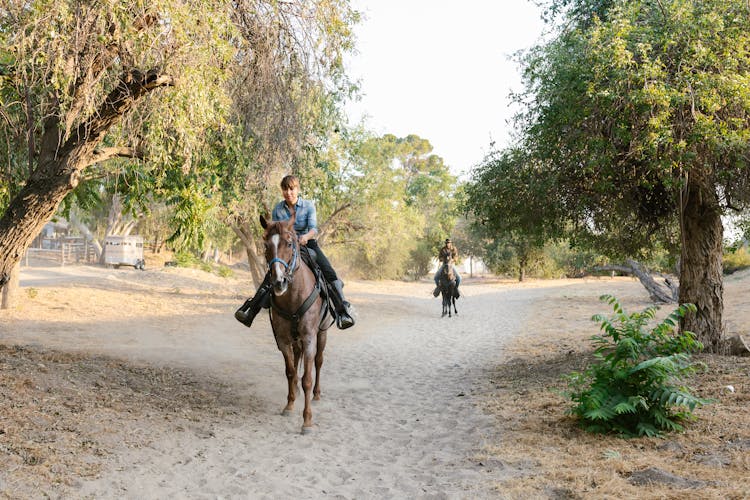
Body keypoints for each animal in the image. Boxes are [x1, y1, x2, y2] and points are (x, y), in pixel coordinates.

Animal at [260, 212, 328, 434]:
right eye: (266, 245)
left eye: (290, 243)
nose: (278, 281)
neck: (293, 297)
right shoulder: (283, 339)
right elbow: (290, 372)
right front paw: (289, 405)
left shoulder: (309, 338)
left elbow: (307, 377)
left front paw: (307, 421)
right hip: (295, 338)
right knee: (297, 358)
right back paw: (296, 392)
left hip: (322, 333)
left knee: (319, 361)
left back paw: (316, 394)